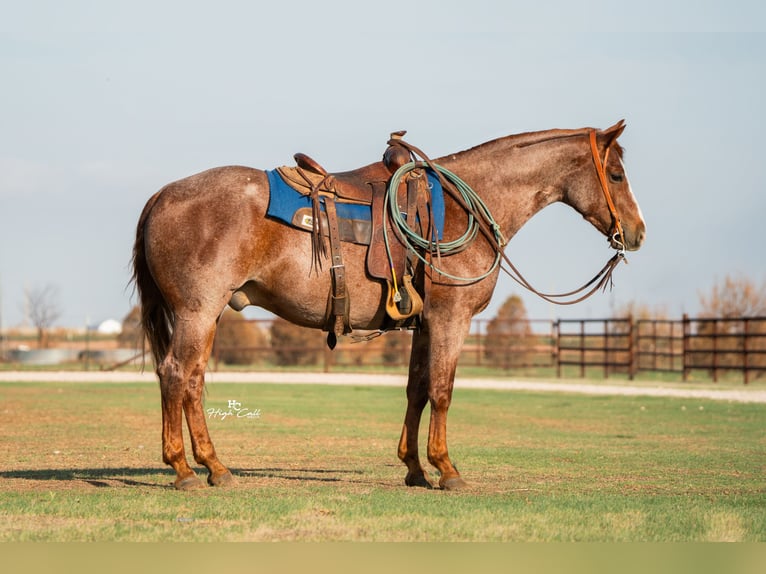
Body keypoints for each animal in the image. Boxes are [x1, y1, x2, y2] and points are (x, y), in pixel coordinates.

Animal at [131, 120, 646, 490]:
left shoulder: (423, 323)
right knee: (178, 375)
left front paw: (414, 469)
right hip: (198, 312)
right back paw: (186, 470)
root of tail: (162, 195)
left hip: (205, 315)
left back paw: (212, 467)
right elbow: (442, 390)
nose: (638, 233)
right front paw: (447, 469)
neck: (466, 208)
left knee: (191, 380)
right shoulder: (450, 319)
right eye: (616, 174)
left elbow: (417, 390)